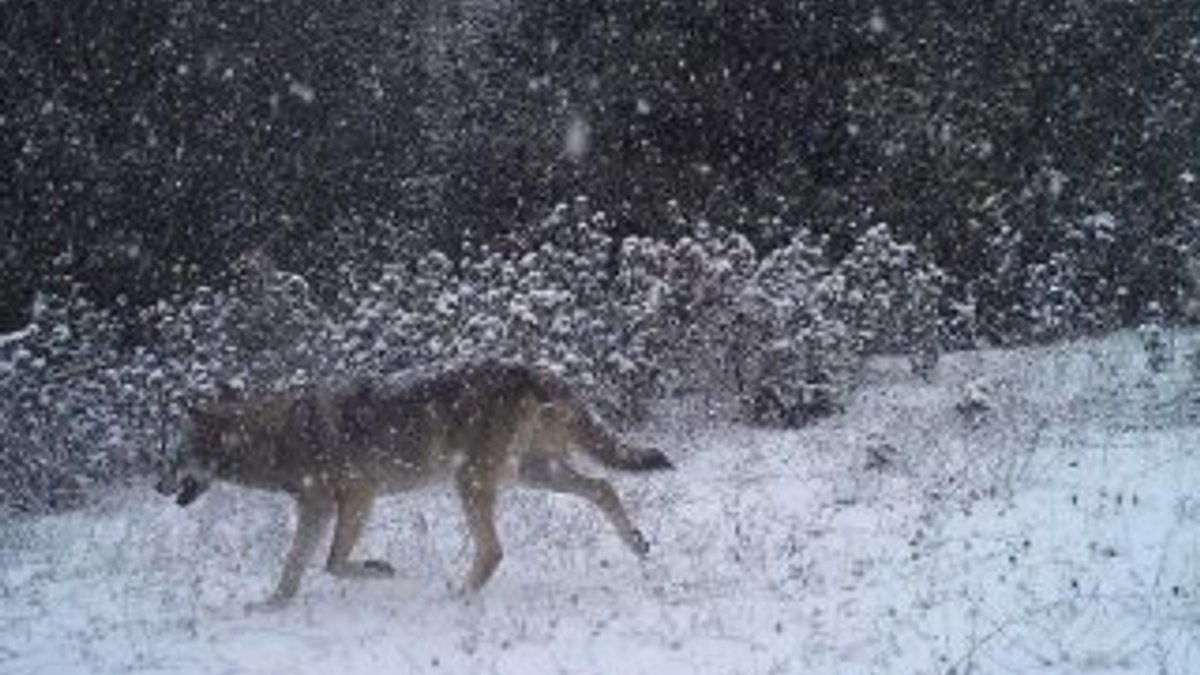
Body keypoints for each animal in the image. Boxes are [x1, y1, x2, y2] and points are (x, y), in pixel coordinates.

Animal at [154, 360, 672, 607]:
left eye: (175, 456)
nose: (157, 486)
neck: (276, 437)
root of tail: (532, 369)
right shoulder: (320, 507)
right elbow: (295, 567)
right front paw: (271, 607)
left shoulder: (350, 498)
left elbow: (330, 563)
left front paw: (381, 569)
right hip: (531, 473)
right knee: (603, 487)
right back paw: (638, 543)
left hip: (472, 480)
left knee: (494, 550)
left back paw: (456, 598)